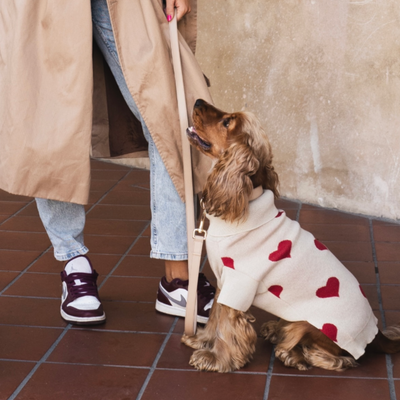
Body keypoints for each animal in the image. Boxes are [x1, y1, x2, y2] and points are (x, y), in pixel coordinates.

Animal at [183, 99, 400, 372]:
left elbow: (226, 326)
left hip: (311, 324)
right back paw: (276, 331)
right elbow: (215, 317)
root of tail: (376, 334)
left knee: (337, 357)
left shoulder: (239, 283)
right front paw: (202, 340)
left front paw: (216, 358)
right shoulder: (224, 282)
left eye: (227, 121)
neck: (244, 200)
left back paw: (292, 354)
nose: (198, 100)